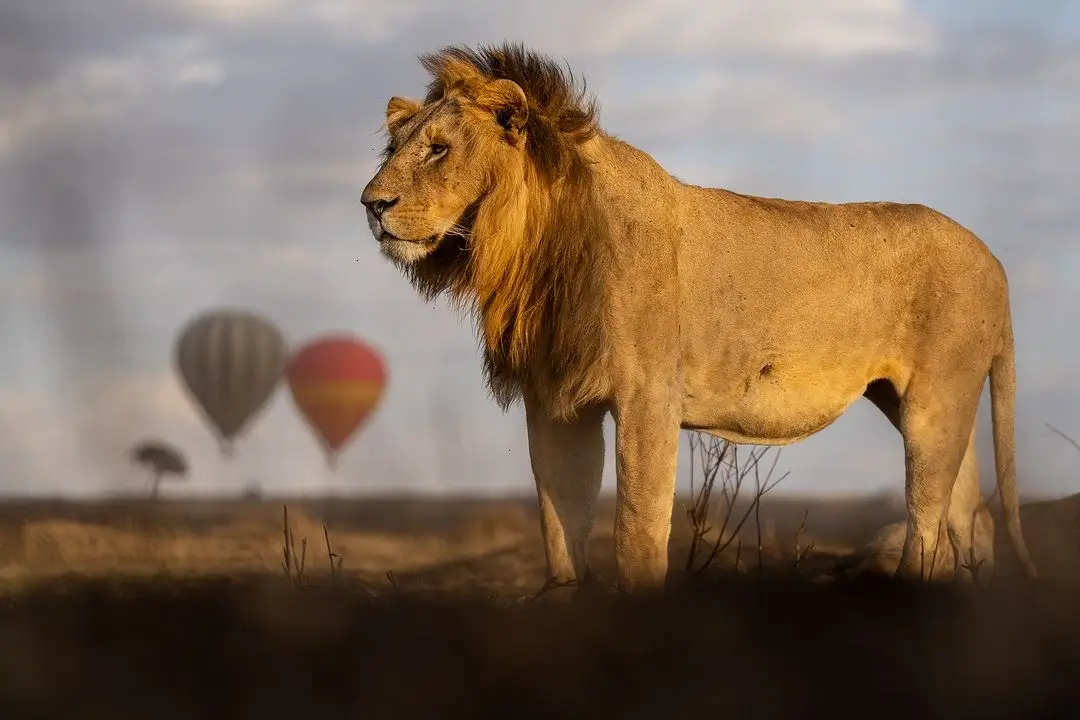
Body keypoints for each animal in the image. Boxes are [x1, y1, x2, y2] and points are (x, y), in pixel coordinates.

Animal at [360, 42, 1036, 591]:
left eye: (439, 149)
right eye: (394, 147)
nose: (371, 204)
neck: (532, 247)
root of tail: (995, 259)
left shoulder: (647, 394)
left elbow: (636, 532)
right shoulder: (556, 402)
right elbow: (560, 528)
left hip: (935, 399)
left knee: (927, 525)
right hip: (914, 399)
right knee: (967, 515)